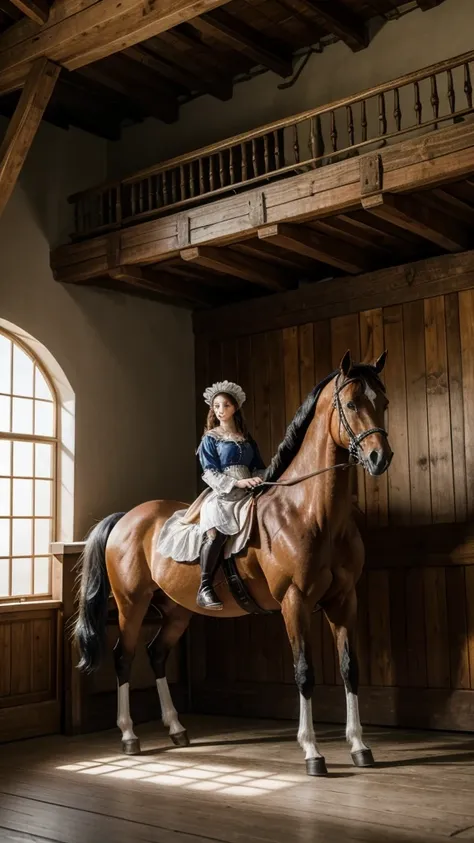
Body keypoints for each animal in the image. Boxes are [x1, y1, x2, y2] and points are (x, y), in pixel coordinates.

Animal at [74, 350, 392, 780]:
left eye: (383, 402)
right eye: (353, 404)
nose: (380, 458)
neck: (311, 513)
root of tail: (127, 516)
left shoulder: (344, 600)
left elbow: (349, 668)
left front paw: (360, 745)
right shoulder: (295, 601)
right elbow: (304, 672)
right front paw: (312, 752)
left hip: (176, 609)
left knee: (156, 654)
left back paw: (176, 728)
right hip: (131, 603)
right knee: (124, 656)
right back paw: (128, 736)